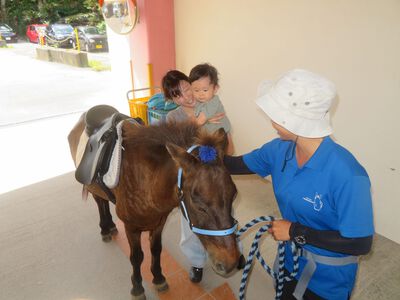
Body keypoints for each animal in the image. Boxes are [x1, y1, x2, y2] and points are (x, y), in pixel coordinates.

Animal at [67, 110, 241, 300]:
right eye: (199, 206)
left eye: (234, 196)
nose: (231, 263)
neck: (146, 179)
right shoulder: (131, 228)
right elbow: (136, 257)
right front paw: (137, 287)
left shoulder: (159, 223)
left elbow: (156, 250)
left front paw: (158, 278)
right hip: (93, 189)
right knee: (101, 202)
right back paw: (105, 228)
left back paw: (111, 226)